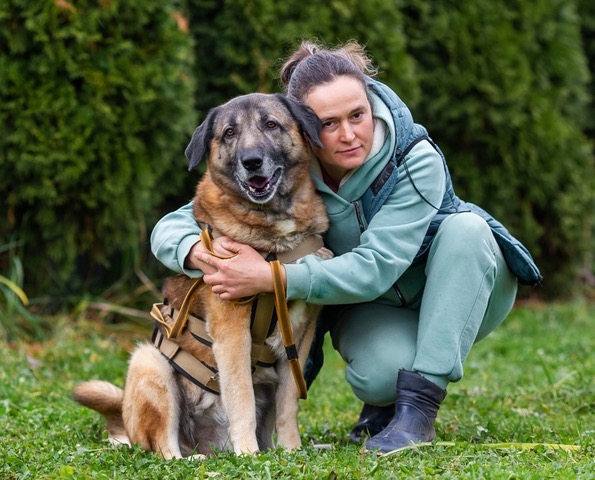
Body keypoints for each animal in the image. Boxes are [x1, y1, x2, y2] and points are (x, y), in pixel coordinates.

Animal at [73, 93, 332, 459]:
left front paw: (291, 450)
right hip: (150, 363)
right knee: (164, 448)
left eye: (271, 124)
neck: (272, 240)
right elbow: (241, 396)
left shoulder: (299, 335)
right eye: (229, 133)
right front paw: (248, 453)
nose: (252, 162)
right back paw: (192, 457)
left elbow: (288, 405)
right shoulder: (232, 331)